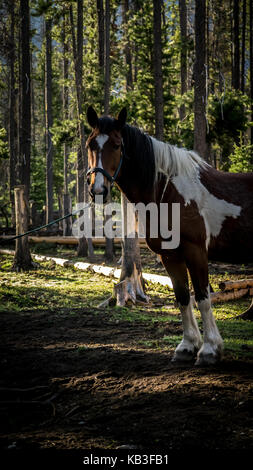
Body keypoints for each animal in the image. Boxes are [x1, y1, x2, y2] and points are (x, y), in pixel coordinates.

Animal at [85, 106, 253, 368]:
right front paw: (187, 346)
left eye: (117, 145)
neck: (168, 193)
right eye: (90, 144)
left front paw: (209, 350)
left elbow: (202, 297)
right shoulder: (170, 256)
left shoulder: (196, 252)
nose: (98, 190)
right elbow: (182, 297)